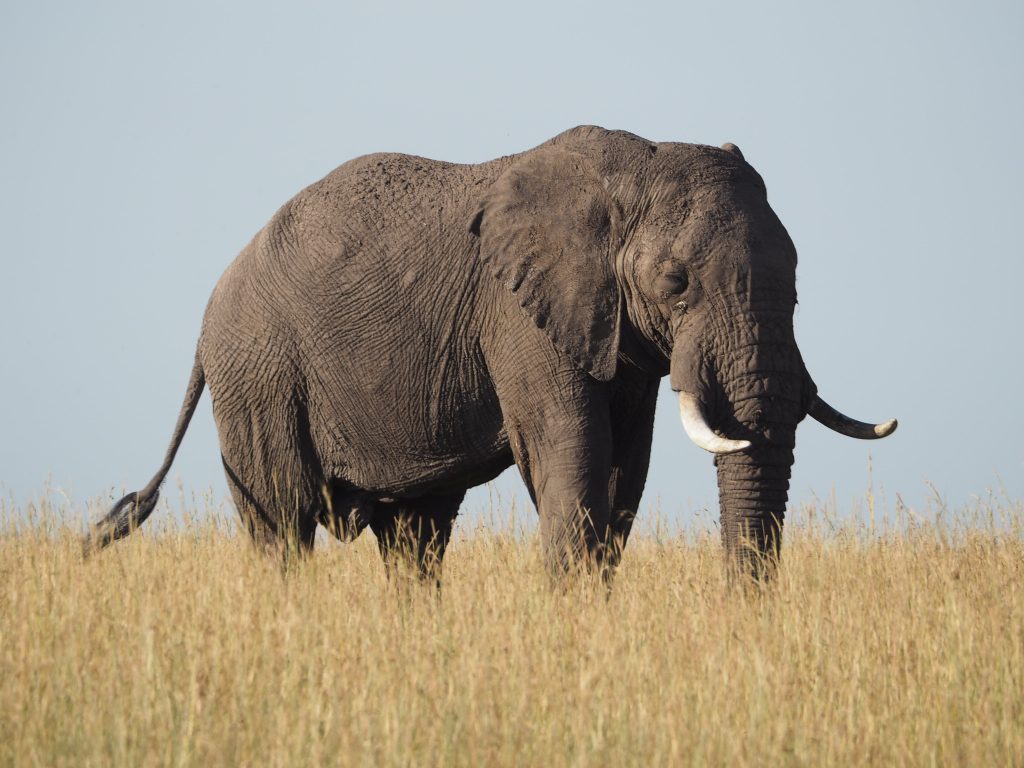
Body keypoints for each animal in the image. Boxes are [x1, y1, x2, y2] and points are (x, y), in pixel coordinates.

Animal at [81, 128, 897, 581]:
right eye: (676, 283)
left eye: (798, 289)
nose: (742, 610)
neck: (630, 167)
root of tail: (211, 306)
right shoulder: (520, 317)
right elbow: (573, 457)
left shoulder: (616, 334)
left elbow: (622, 474)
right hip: (258, 373)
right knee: (282, 524)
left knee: (413, 537)